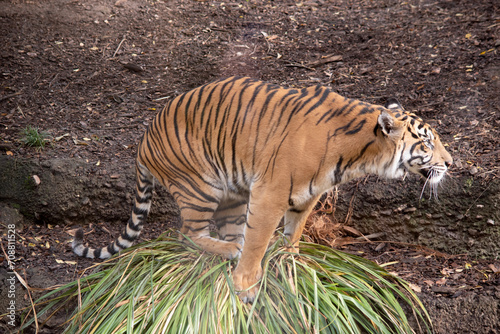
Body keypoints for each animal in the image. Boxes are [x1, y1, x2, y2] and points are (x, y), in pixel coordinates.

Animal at [74, 75, 454, 302]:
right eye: (427, 143)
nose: (450, 163)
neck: (359, 154)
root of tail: (142, 141)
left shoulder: (308, 194)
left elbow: (294, 230)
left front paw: (290, 259)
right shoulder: (269, 193)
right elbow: (258, 239)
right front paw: (245, 284)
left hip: (232, 193)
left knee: (223, 231)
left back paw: (232, 246)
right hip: (201, 186)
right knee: (188, 235)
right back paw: (231, 251)